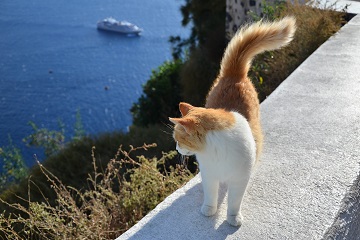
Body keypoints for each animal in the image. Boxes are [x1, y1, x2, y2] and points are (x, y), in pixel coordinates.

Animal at [169, 17, 296, 227]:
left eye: (179, 139)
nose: (177, 149)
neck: (215, 152)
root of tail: (235, 74)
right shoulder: (209, 175)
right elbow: (210, 194)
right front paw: (209, 209)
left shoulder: (240, 179)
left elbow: (235, 201)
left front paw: (233, 217)